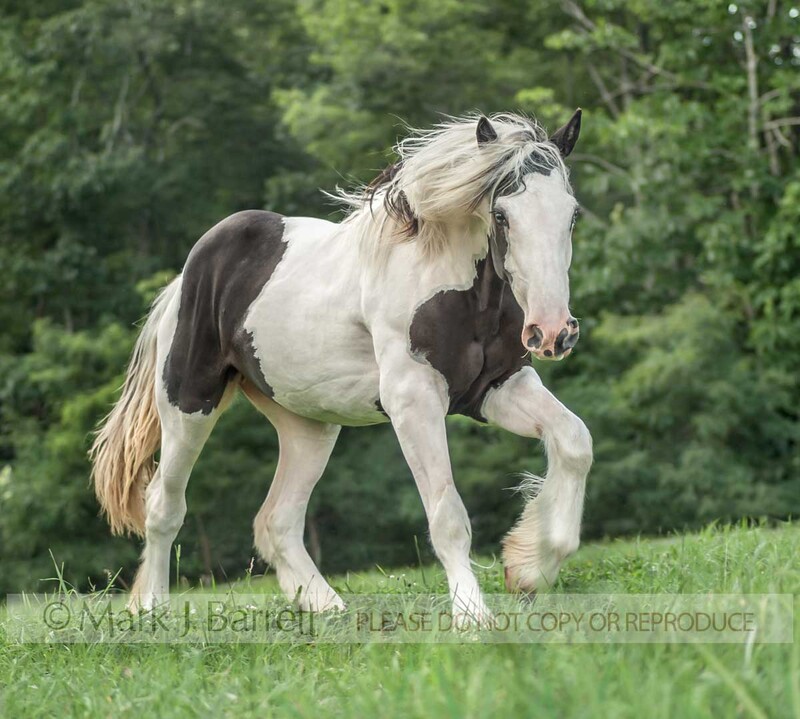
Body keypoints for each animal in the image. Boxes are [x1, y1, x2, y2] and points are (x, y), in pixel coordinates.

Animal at [90, 110, 593, 622]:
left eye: (572, 215)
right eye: (501, 214)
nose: (553, 332)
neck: (453, 285)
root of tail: (184, 280)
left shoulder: (497, 387)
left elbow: (575, 443)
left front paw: (529, 568)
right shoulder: (413, 401)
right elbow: (447, 515)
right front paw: (473, 616)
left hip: (308, 426)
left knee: (277, 519)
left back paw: (326, 606)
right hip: (188, 406)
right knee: (163, 506)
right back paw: (152, 609)